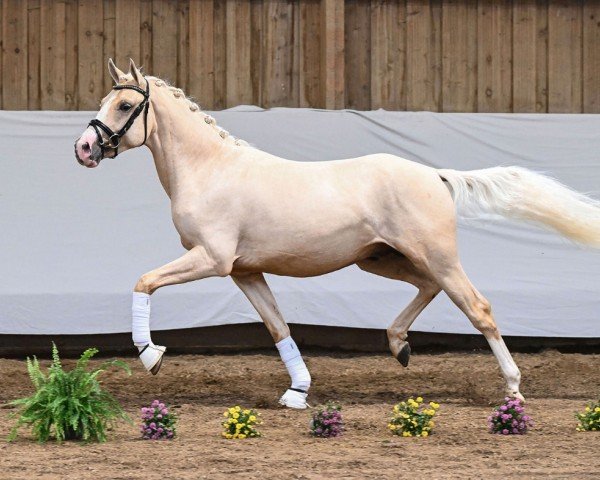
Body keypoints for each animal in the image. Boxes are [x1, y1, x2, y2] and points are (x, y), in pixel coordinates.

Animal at [75, 61, 600, 408]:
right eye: (103, 102)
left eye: (125, 104)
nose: (83, 148)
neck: (210, 170)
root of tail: (435, 175)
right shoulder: (244, 272)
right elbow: (279, 328)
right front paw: (297, 392)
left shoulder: (213, 259)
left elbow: (144, 281)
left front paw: (152, 356)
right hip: (382, 258)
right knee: (428, 289)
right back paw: (399, 347)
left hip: (436, 256)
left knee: (479, 309)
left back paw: (512, 389)